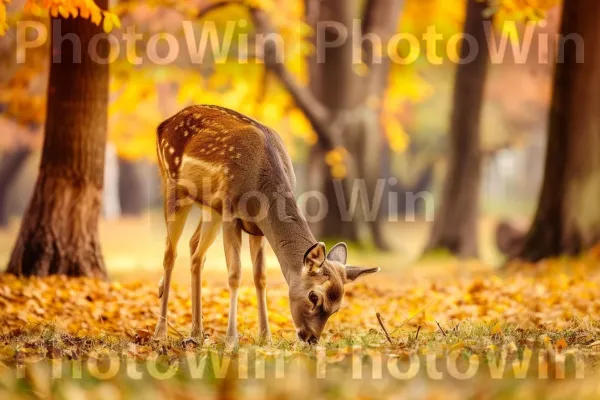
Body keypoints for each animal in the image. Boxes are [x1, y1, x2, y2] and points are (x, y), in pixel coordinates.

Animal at [154, 104, 380, 346]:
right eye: (313, 296)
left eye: (336, 307)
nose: (311, 338)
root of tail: (162, 125)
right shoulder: (230, 213)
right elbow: (235, 274)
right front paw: (232, 340)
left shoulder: (257, 227)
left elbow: (260, 276)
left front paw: (266, 338)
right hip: (174, 187)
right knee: (169, 254)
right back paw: (161, 332)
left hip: (211, 208)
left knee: (196, 251)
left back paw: (196, 333)